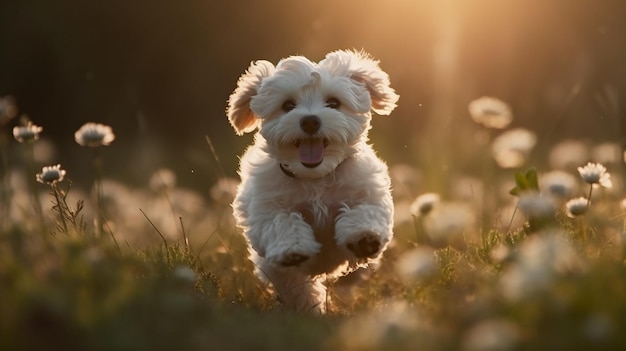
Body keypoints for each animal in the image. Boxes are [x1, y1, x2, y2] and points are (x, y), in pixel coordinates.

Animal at [227, 48, 398, 314]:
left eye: (334, 103)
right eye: (287, 105)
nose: (310, 121)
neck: (315, 177)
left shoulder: (367, 188)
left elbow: (365, 209)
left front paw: (364, 237)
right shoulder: (264, 206)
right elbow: (281, 220)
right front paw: (293, 248)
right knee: (298, 287)